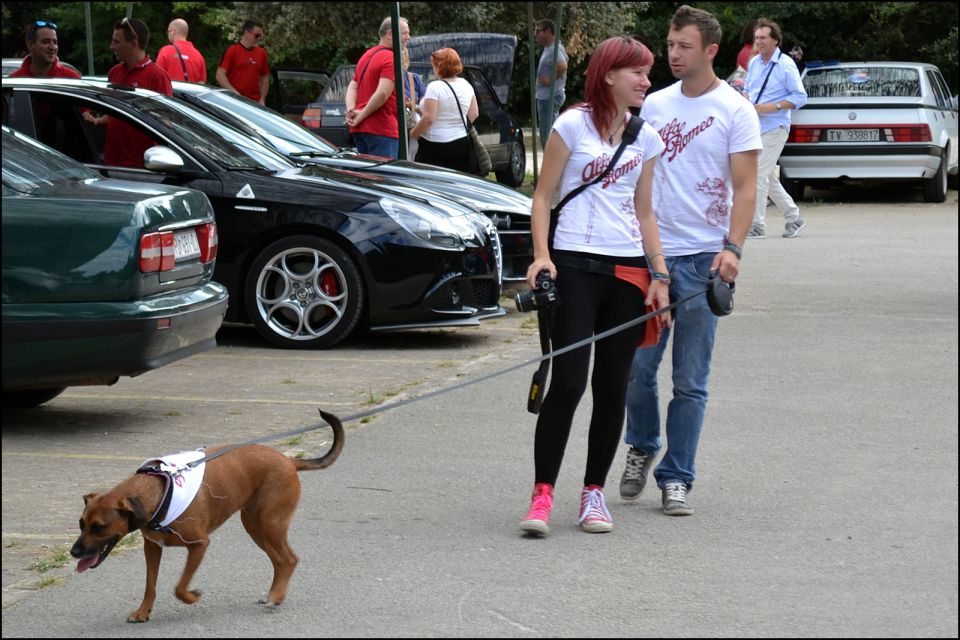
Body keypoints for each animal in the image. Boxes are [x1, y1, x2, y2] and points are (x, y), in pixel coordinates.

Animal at [69, 408, 344, 624]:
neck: (159, 494)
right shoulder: (152, 548)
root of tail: (288, 461)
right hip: (255, 526)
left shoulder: (199, 545)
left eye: (99, 526)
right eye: (81, 524)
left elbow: (179, 587)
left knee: (289, 559)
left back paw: (276, 596)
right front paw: (143, 611)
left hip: (270, 523)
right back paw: (274, 594)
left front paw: (192, 597)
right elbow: (150, 585)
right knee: (279, 561)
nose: (74, 552)